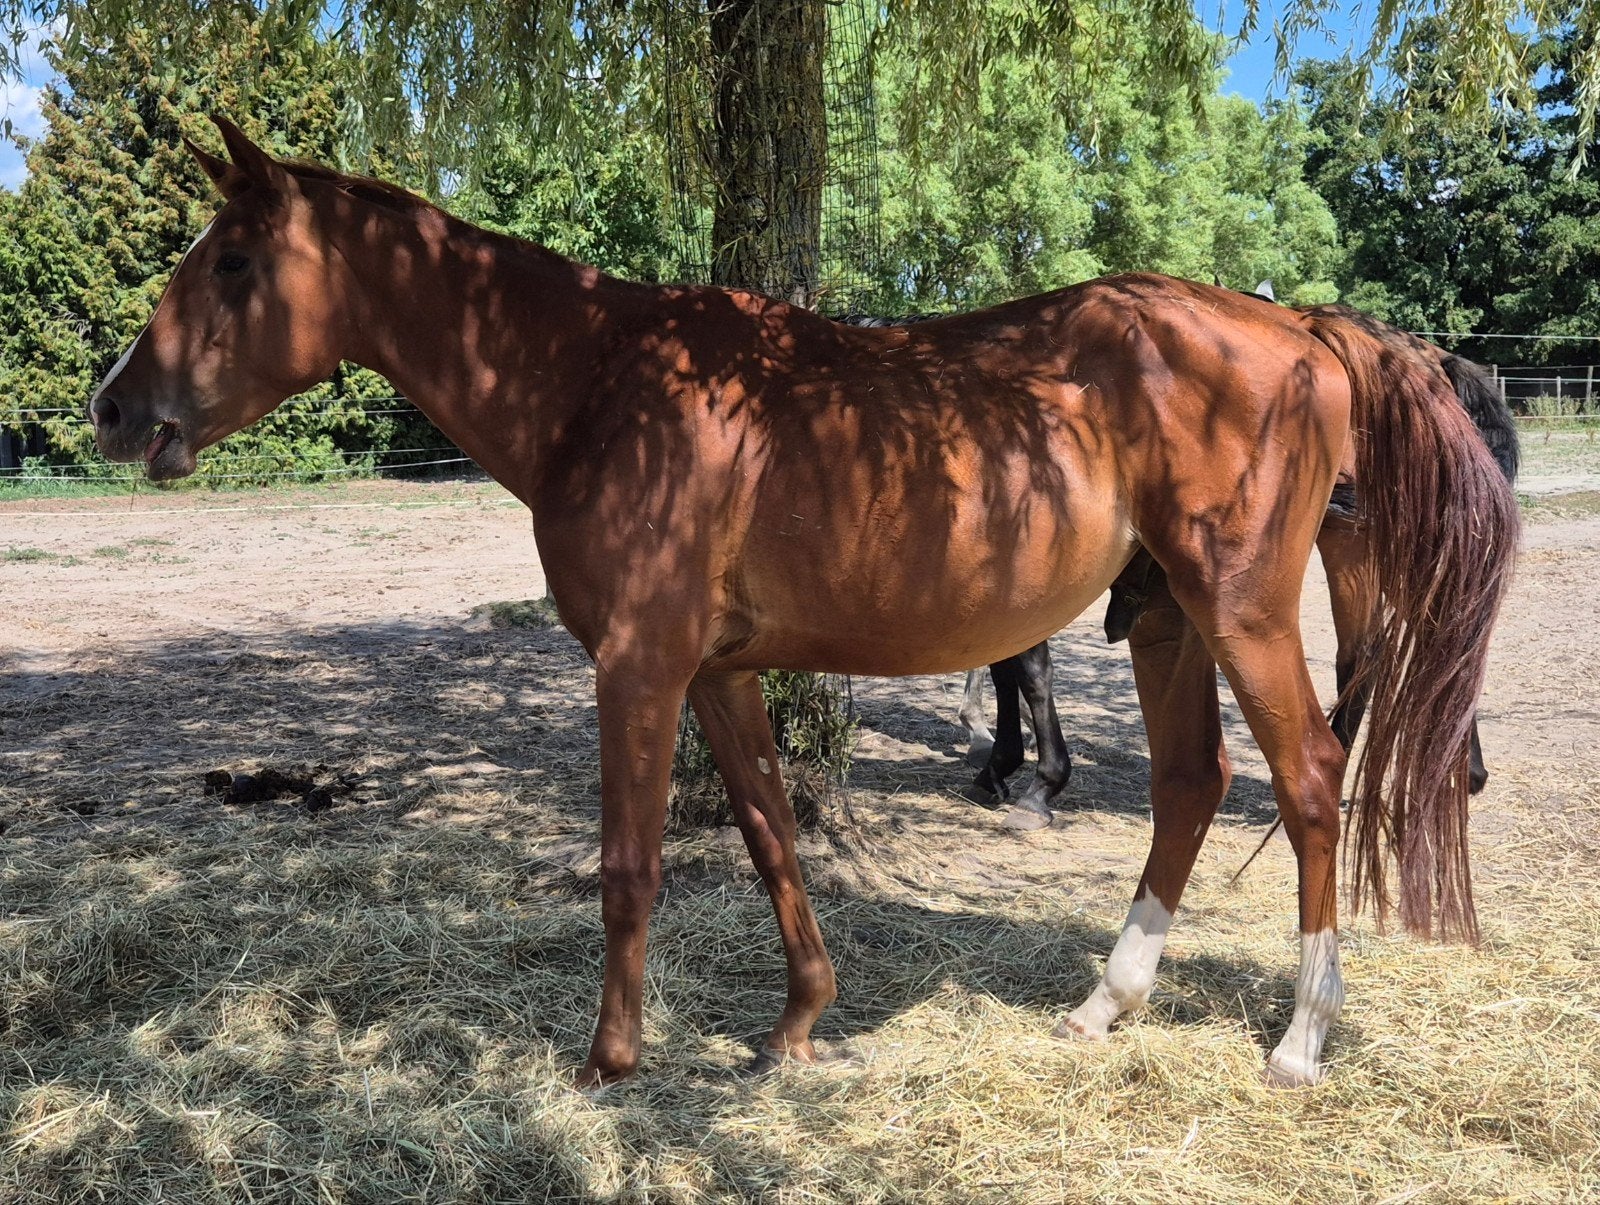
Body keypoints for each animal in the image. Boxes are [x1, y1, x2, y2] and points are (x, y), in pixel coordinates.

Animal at [962, 327, 1519, 825]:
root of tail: (1432, 361)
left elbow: (1027, 668)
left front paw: (1032, 779)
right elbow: (1005, 664)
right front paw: (999, 763)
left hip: (1357, 546)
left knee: (1374, 657)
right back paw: (1459, 773)